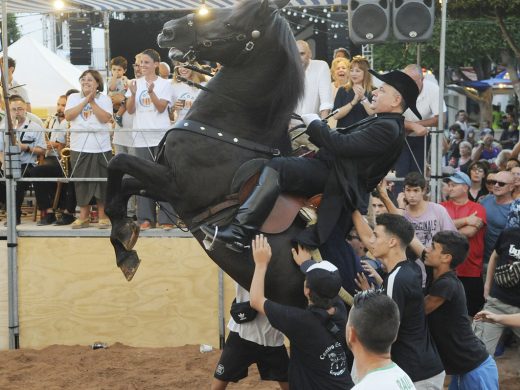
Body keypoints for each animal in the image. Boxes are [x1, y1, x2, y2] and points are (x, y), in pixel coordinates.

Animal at [105, 0, 314, 310]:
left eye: (232, 23)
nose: (168, 30)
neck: (229, 131)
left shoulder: (179, 188)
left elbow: (118, 163)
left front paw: (123, 243)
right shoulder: (168, 188)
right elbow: (127, 183)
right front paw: (123, 237)